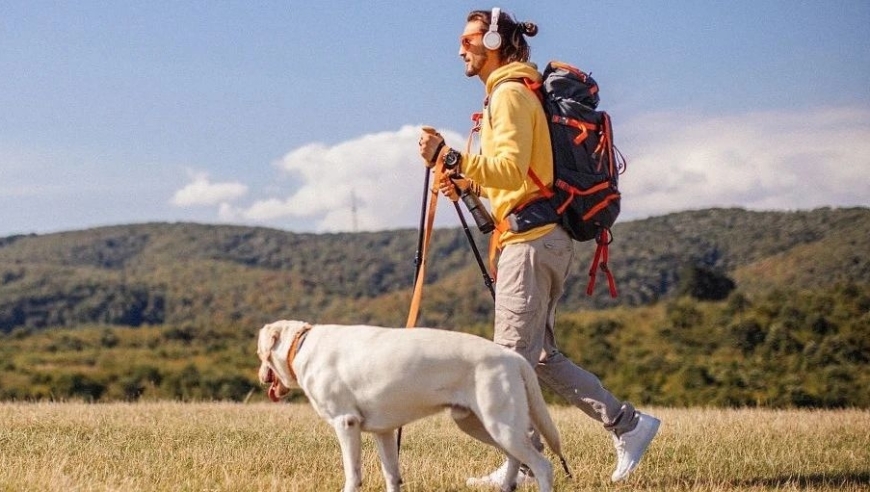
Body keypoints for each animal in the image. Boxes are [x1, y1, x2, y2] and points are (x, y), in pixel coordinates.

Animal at [258, 320, 572, 492]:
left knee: (542, 466)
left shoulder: (346, 423)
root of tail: (513, 357)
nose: (261, 377)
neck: (300, 345)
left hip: (499, 423)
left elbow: (353, 473)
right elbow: (391, 474)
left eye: (261, 354)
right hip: (480, 423)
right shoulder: (383, 432)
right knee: (514, 457)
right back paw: (506, 487)